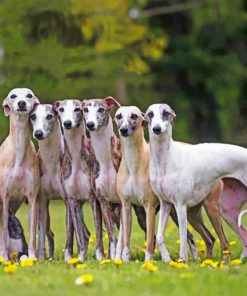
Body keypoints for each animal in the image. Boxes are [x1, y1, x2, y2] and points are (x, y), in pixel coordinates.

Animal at [29, 103, 74, 260]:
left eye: (49, 116)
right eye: (33, 116)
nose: (38, 133)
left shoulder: (68, 200)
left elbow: (69, 232)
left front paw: (68, 258)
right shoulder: (42, 200)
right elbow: (41, 235)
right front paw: (41, 259)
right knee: (49, 234)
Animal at [54, 99, 103, 262]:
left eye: (77, 109)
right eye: (61, 109)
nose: (67, 123)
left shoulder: (94, 199)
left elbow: (99, 231)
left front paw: (101, 257)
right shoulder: (73, 200)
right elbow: (80, 236)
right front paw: (80, 259)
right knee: (80, 232)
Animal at [115, 106, 206, 262]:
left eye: (134, 116)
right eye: (118, 116)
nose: (124, 129)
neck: (133, 163)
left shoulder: (150, 207)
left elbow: (150, 241)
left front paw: (148, 261)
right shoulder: (126, 206)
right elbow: (127, 238)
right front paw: (125, 260)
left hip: (175, 212)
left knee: (189, 235)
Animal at [146, 103, 247, 262]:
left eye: (166, 113)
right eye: (150, 114)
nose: (157, 129)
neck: (166, 158)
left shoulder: (180, 205)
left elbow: (183, 236)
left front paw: (182, 260)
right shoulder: (165, 203)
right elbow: (161, 236)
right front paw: (167, 258)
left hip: (212, 209)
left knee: (225, 243)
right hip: (227, 211)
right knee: (241, 237)